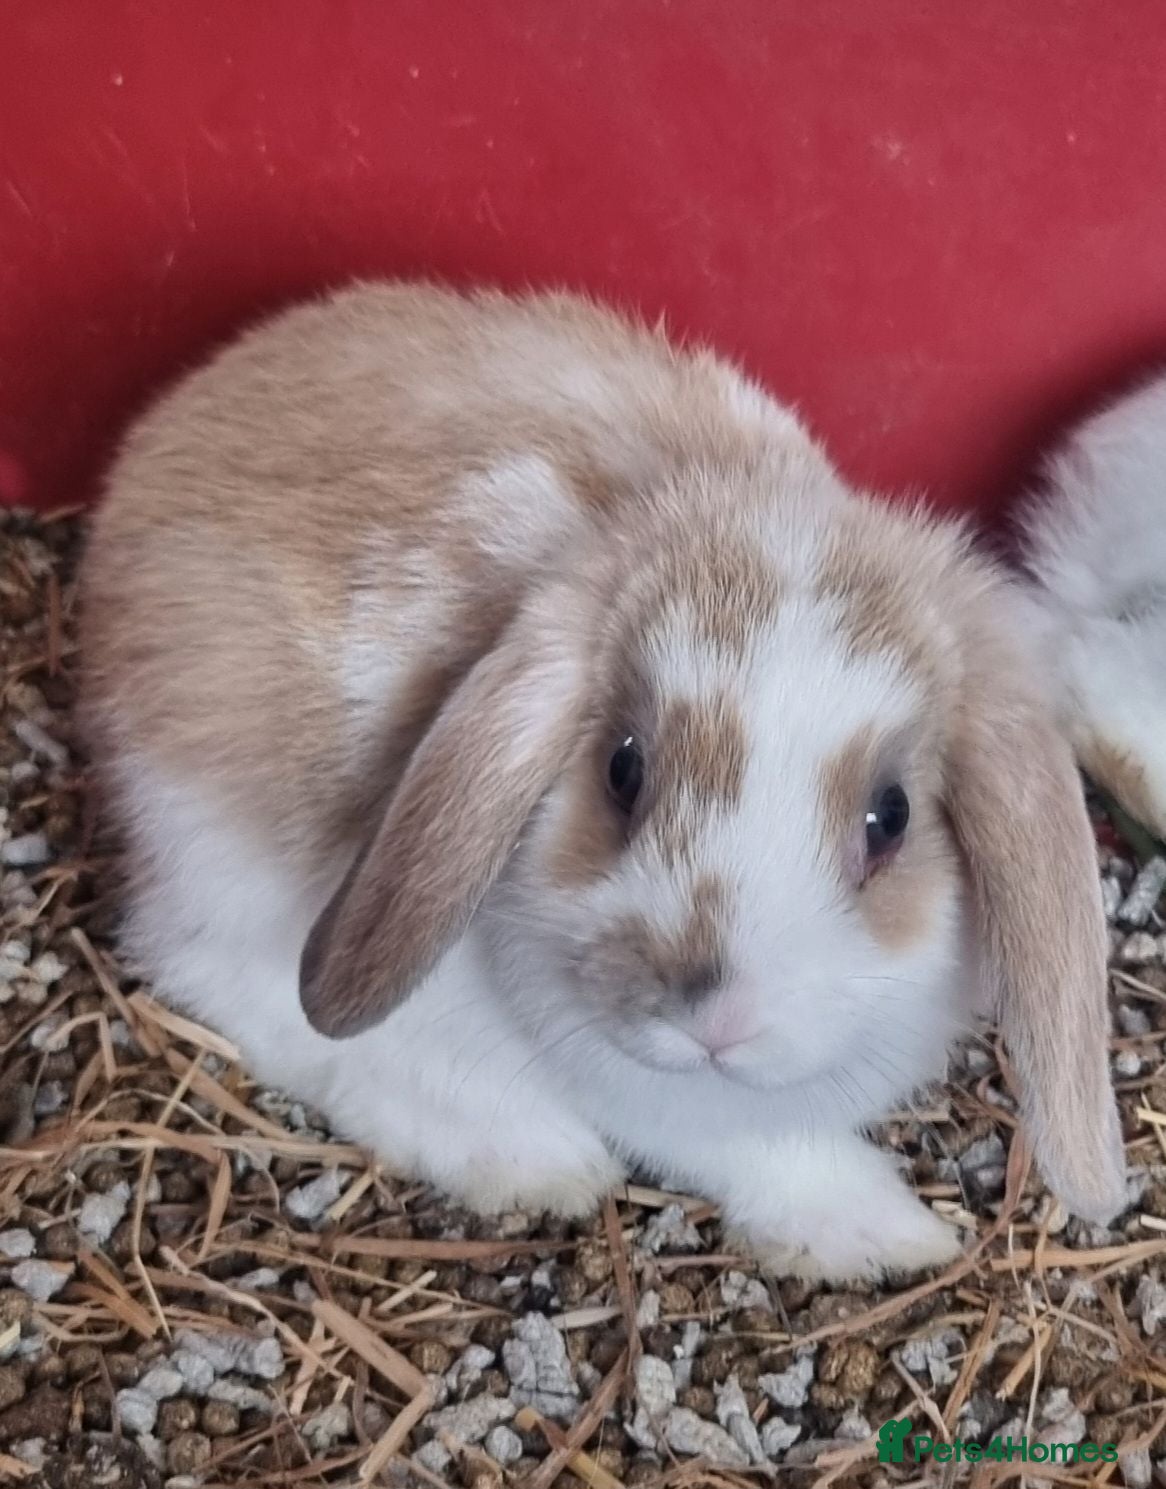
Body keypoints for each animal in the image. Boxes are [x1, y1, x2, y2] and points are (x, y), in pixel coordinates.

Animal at [78, 281, 1126, 1282]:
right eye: (623, 768)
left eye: (892, 815)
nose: (716, 1017)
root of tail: (146, 459)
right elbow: (763, 1150)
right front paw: (885, 1235)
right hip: (221, 854)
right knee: (223, 980)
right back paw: (528, 1156)